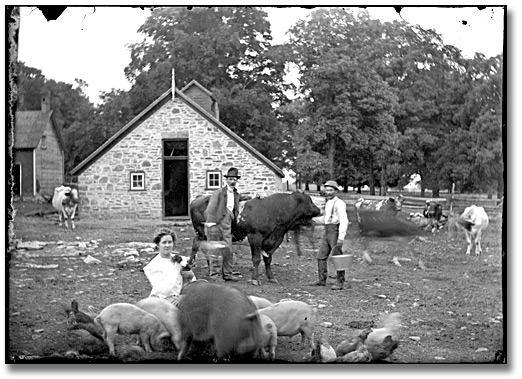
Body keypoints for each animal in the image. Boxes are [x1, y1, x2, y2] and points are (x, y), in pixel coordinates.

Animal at [190, 191, 320, 286]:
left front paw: (271, 277)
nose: (319, 210)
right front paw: (255, 279)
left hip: (201, 234)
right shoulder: (255, 237)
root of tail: (198, 198)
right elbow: (256, 259)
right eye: (310, 200)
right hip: (202, 232)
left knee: (197, 245)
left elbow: (268, 259)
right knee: (203, 248)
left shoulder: (274, 241)